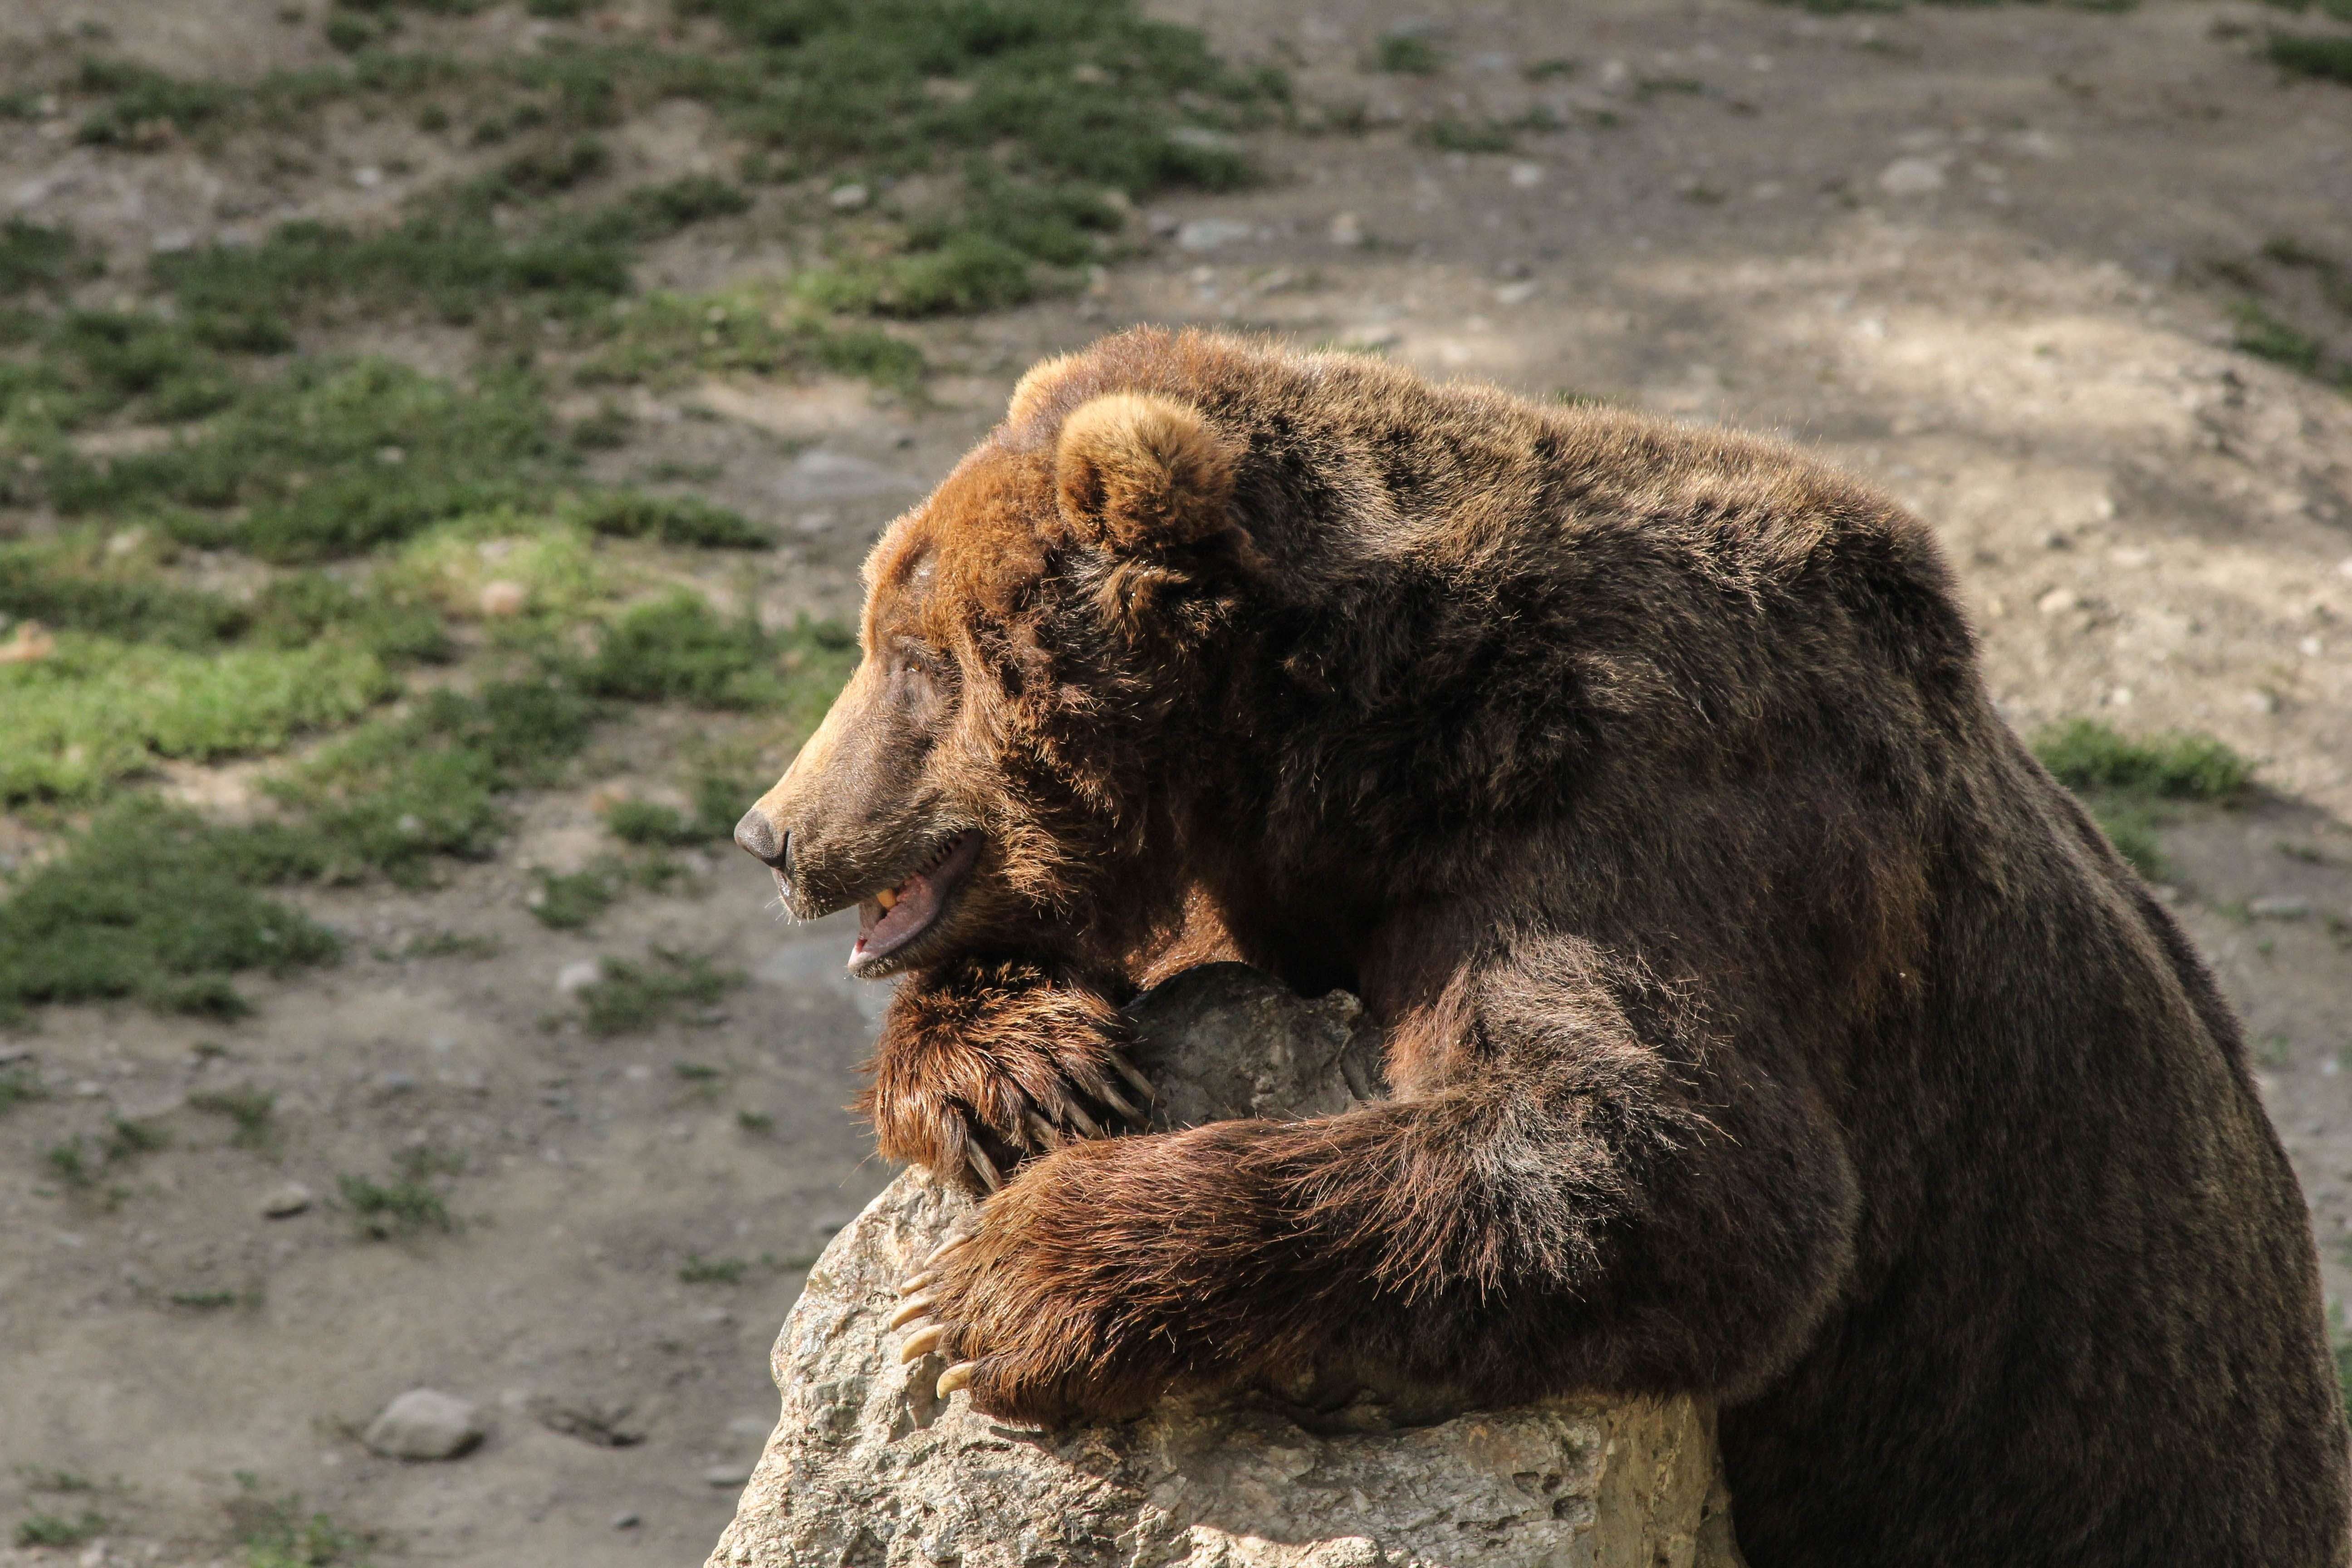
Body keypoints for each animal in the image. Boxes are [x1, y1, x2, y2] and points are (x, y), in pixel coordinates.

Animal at [734, 324, 2352, 1561]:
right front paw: (1022, 1074)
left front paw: (1000, 1284)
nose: (774, 833)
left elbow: (1668, 1154)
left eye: (913, 656)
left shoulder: (1649, 812)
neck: (1359, 746)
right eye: (885, 623)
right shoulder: (1279, 871)